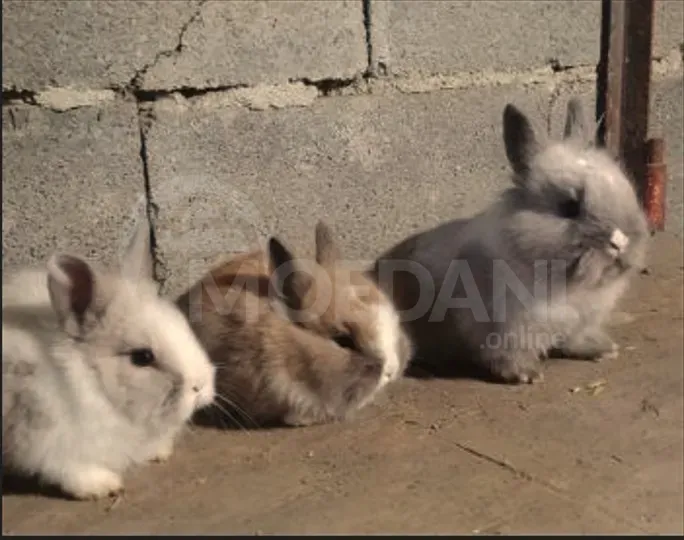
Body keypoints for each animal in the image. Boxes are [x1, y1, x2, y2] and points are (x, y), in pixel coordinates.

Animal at [2, 217, 216, 500]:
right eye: (142, 357)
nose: (200, 386)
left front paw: (159, 451)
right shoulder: (43, 430)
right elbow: (64, 466)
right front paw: (102, 484)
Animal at [369, 97, 649, 384]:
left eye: (626, 189)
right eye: (569, 207)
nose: (622, 242)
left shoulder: (579, 322)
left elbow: (574, 339)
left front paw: (603, 350)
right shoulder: (504, 329)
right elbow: (506, 354)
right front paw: (527, 375)